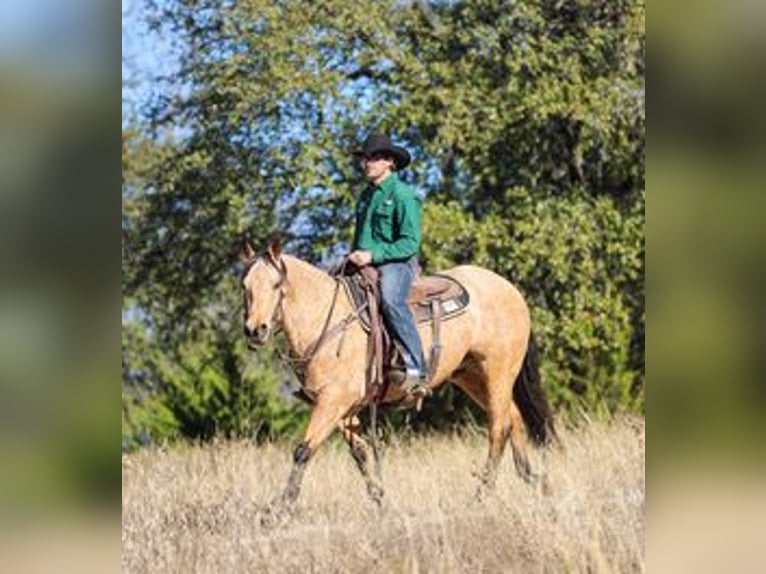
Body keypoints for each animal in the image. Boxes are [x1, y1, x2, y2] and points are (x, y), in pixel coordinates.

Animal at [240, 238, 555, 505]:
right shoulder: (338, 406)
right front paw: (380, 500)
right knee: (513, 418)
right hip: (472, 376)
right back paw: (532, 479)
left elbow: (303, 450)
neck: (324, 318)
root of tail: (511, 290)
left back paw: (482, 493)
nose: (256, 330)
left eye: (276, 284)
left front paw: (280, 507)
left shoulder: (333, 400)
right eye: (244, 286)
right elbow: (360, 452)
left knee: (499, 427)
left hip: (498, 372)